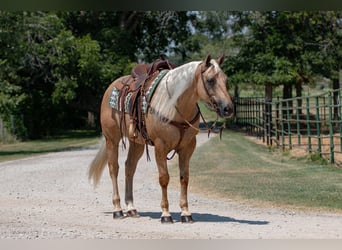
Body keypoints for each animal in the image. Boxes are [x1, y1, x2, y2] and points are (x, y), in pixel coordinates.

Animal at [87, 54, 235, 223]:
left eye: (225, 79)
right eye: (210, 80)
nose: (228, 108)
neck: (174, 105)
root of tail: (111, 87)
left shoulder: (188, 147)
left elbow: (184, 178)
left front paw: (186, 213)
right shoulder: (160, 146)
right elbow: (164, 178)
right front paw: (166, 214)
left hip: (136, 143)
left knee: (129, 168)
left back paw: (131, 208)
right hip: (111, 139)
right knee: (114, 169)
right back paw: (117, 210)